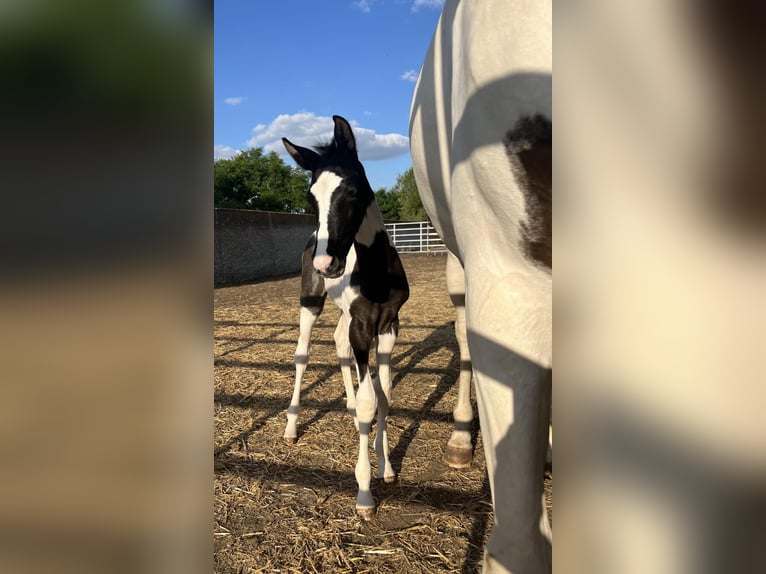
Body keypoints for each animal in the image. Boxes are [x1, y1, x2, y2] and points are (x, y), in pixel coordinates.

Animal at [282, 115, 412, 520]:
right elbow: (373, 400)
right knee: (303, 355)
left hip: (348, 316)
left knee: (339, 344)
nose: (327, 263)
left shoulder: (387, 325)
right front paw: (365, 494)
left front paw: (386, 467)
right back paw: (291, 427)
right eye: (311, 196)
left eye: (352, 189)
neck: (376, 273)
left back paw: (351, 406)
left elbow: (384, 395)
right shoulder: (362, 326)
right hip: (311, 302)